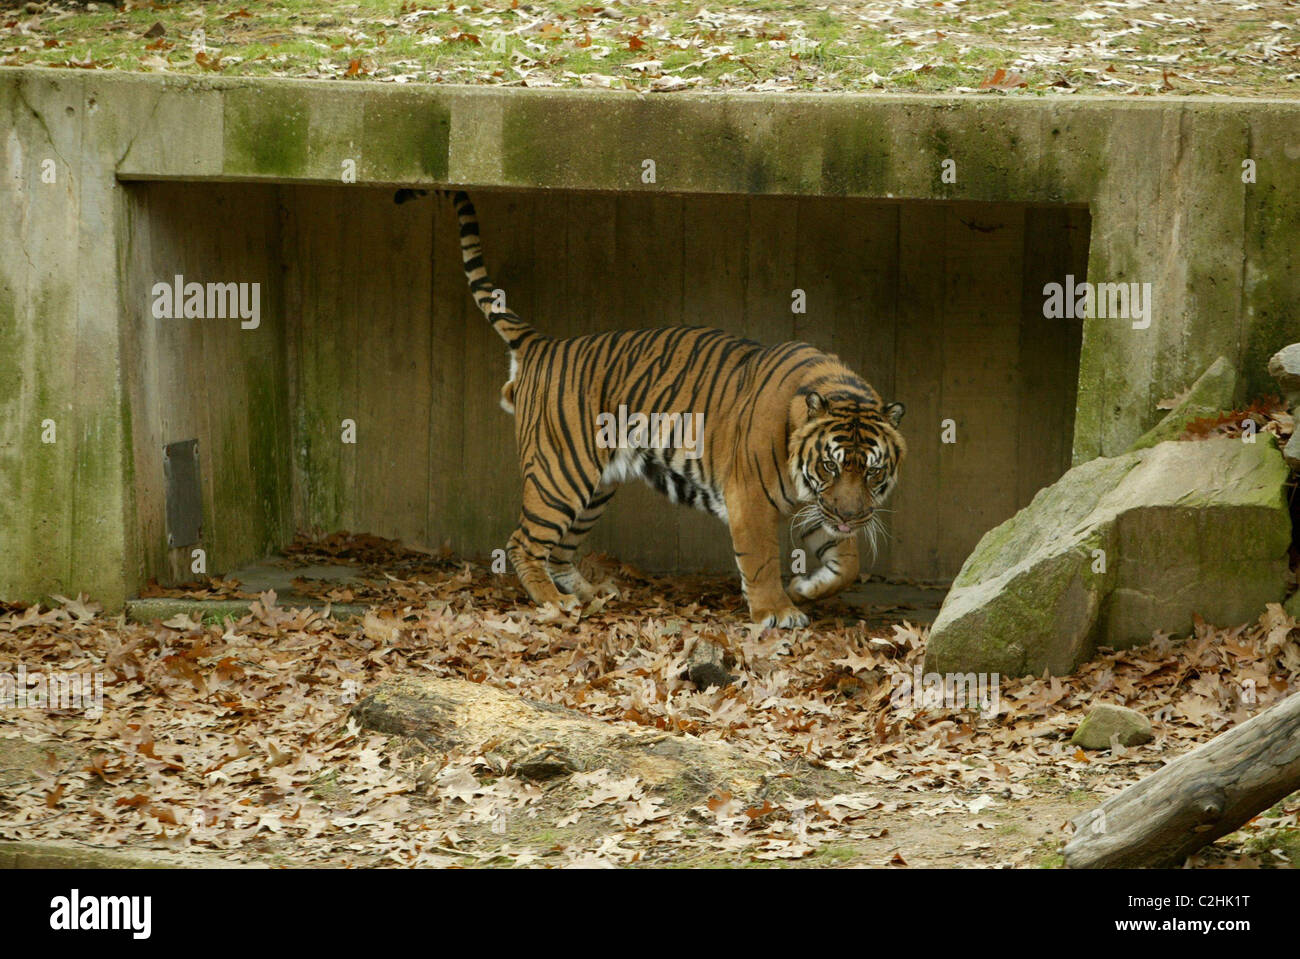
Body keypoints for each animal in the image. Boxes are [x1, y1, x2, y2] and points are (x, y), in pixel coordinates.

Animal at [440, 190, 906, 628]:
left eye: (872, 472)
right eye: (830, 465)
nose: (851, 516)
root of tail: (545, 344)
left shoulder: (815, 502)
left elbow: (848, 564)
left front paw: (805, 588)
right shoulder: (752, 497)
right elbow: (760, 559)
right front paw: (777, 611)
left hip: (595, 487)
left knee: (559, 551)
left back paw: (592, 592)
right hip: (562, 473)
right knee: (524, 542)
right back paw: (555, 602)